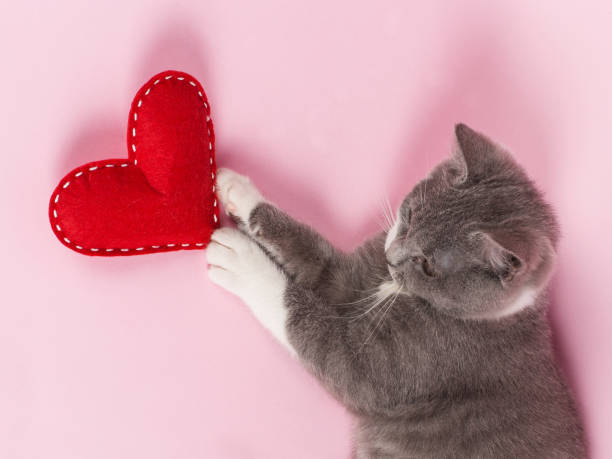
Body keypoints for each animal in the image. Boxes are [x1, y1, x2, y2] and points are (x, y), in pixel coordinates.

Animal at [207, 124, 588, 458]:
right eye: (409, 213)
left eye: (429, 266)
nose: (390, 257)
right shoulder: (354, 280)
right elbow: (317, 260)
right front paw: (238, 191)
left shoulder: (419, 359)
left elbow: (320, 340)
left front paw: (241, 261)